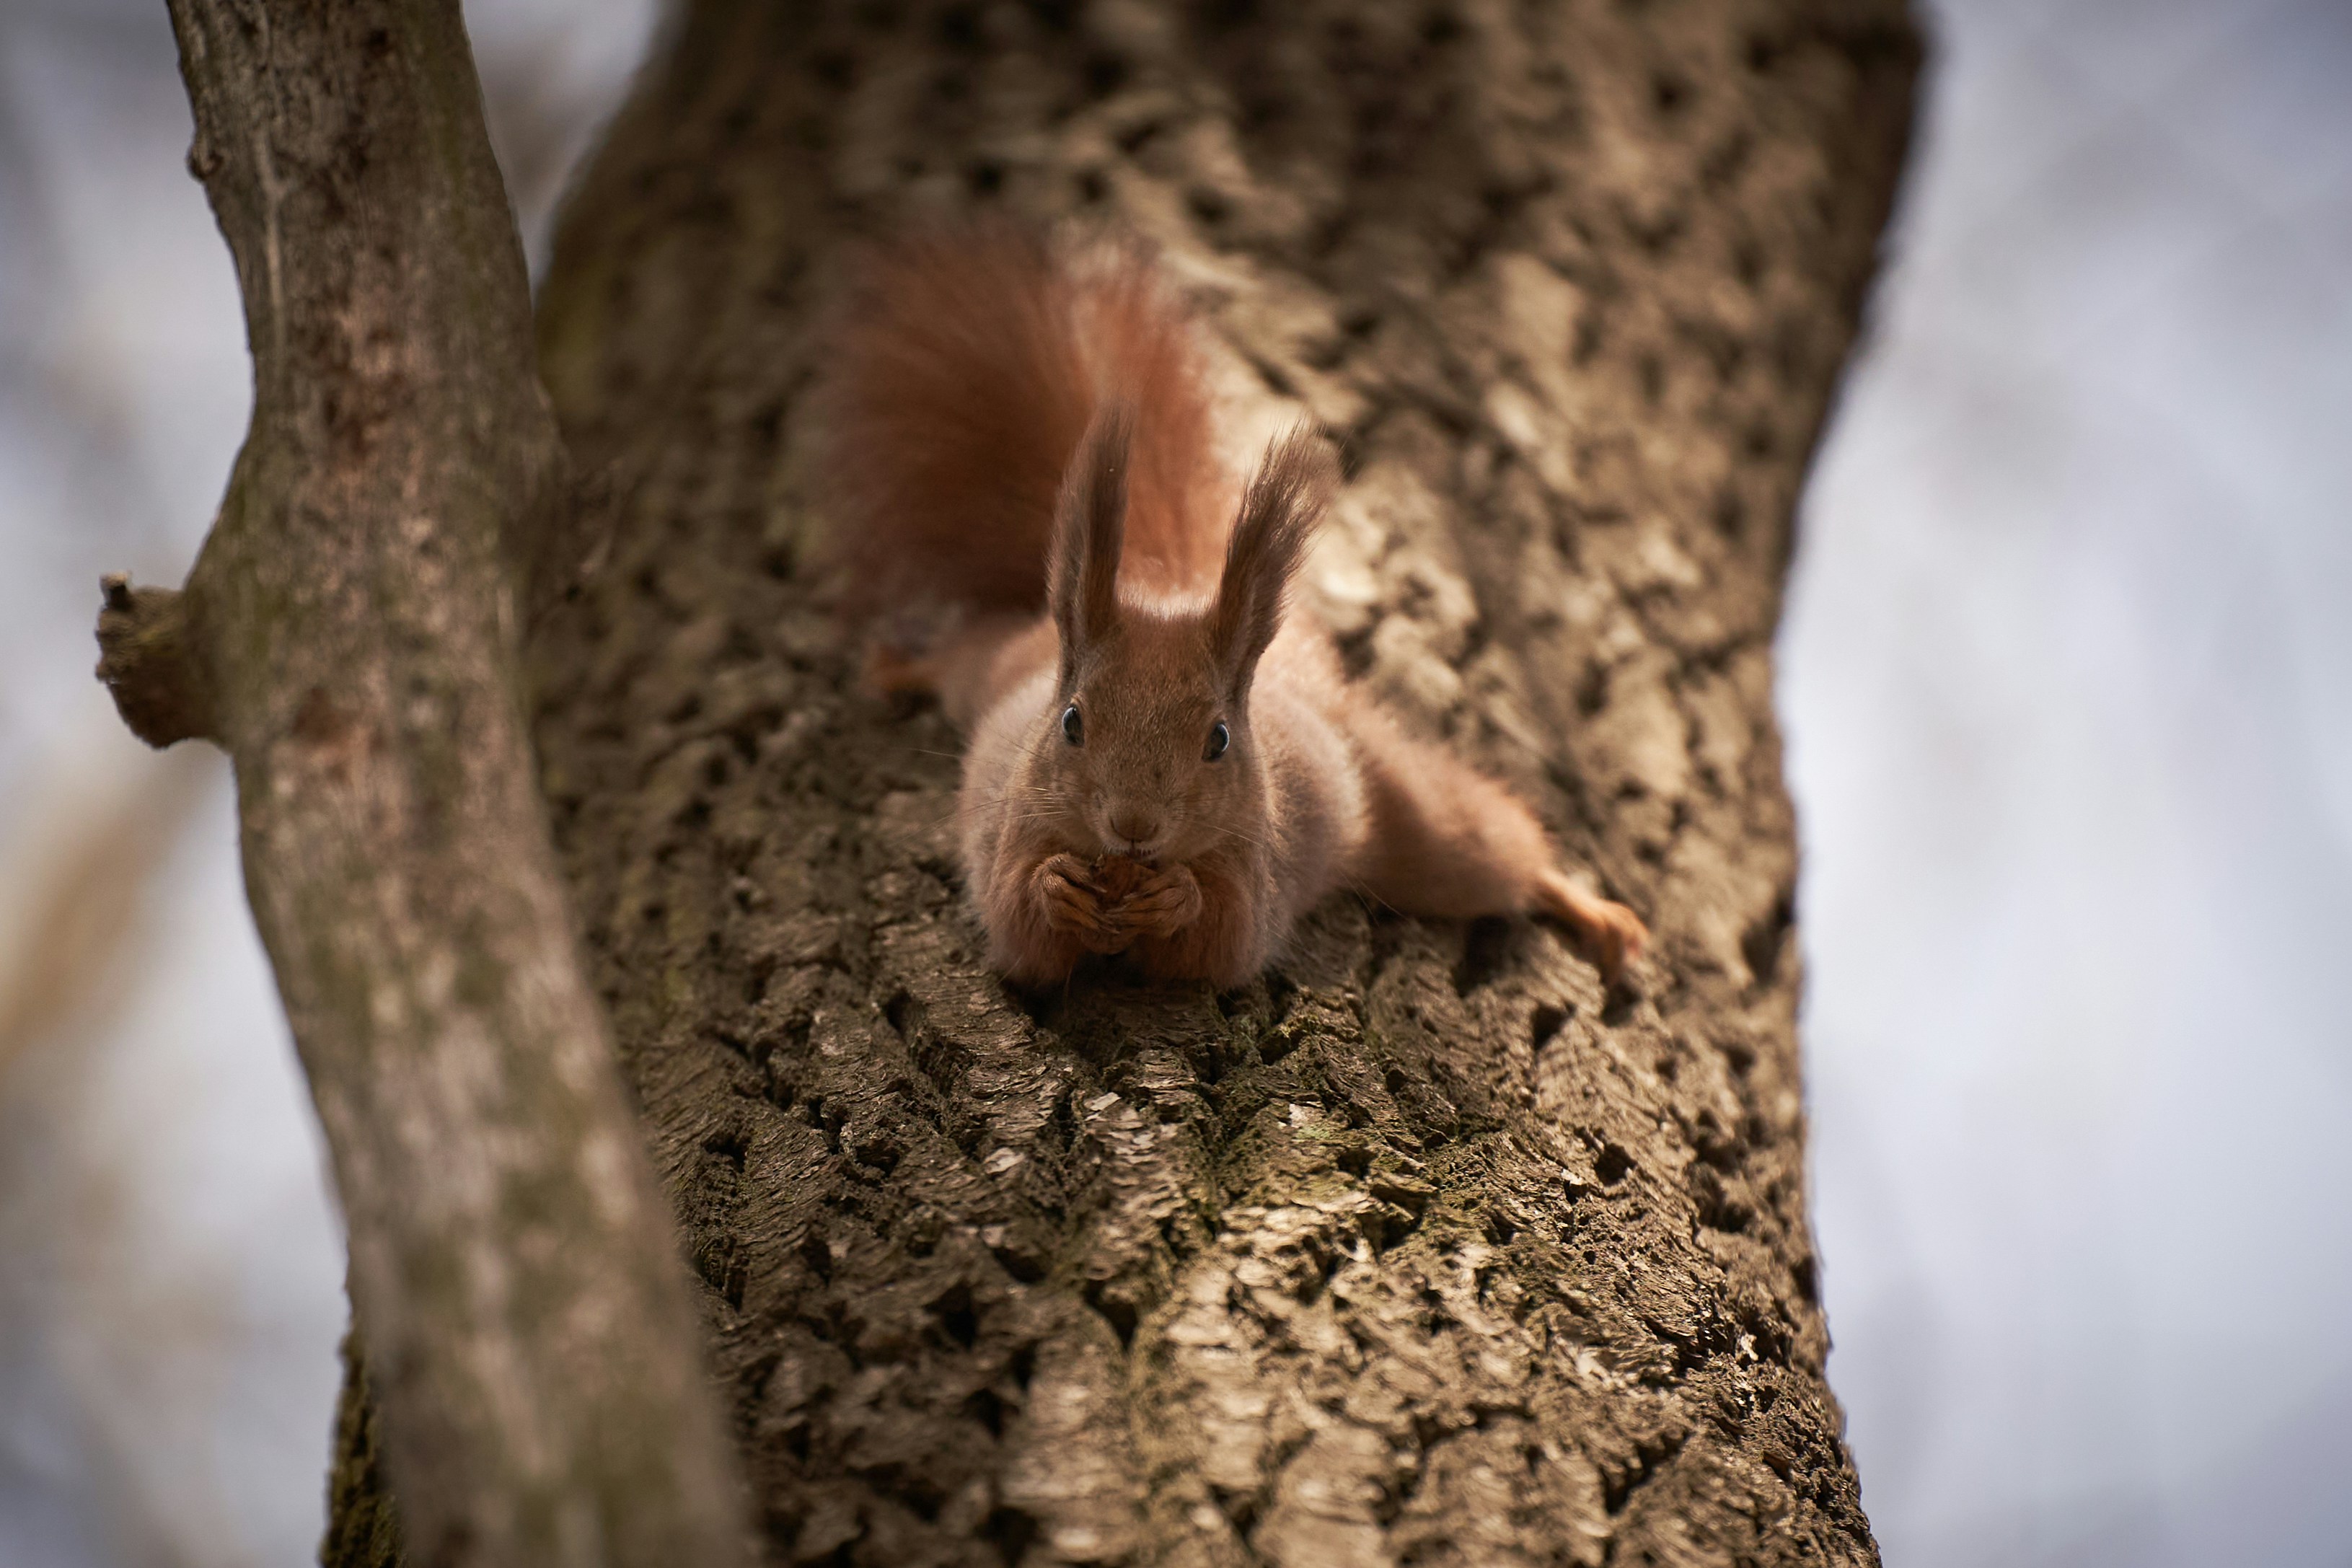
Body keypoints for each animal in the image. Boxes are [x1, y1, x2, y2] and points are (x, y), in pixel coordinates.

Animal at [811, 227, 1648, 991]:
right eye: (1072, 722)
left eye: (1218, 739)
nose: (1134, 827)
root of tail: (1170, 581)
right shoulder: (1008, 837)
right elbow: (1022, 931)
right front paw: (1056, 889)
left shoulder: (1257, 867)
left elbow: (1223, 939)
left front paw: (1177, 896)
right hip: (991, 671)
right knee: (957, 657)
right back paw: (897, 669)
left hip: (1404, 807)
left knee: (1484, 848)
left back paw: (1589, 909)